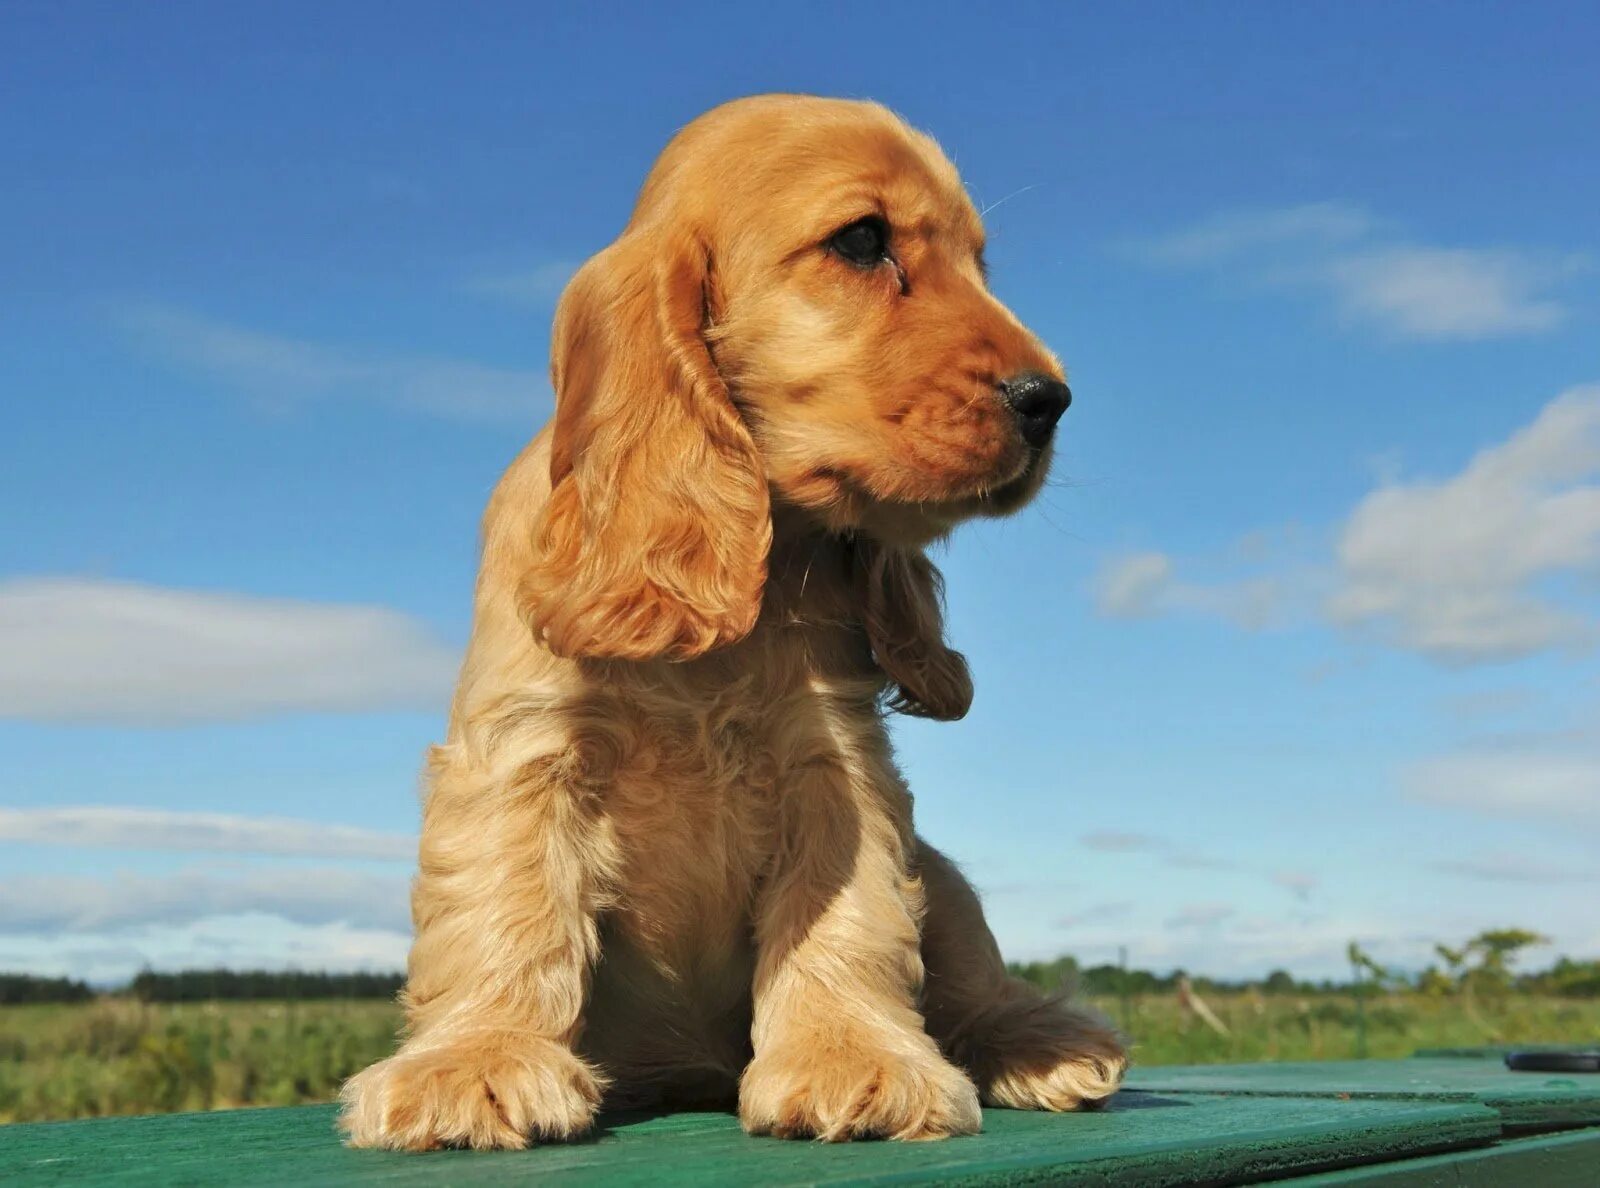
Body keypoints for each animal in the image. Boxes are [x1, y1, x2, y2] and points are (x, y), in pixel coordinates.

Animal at [342, 97, 1126, 1159]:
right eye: (863, 241)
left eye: (979, 264)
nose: (1050, 401)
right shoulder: (522, 751)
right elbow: (507, 902)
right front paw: (475, 1063)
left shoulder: (835, 763)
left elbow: (847, 914)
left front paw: (849, 1059)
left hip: (948, 883)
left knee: (973, 975)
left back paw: (1045, 1043)